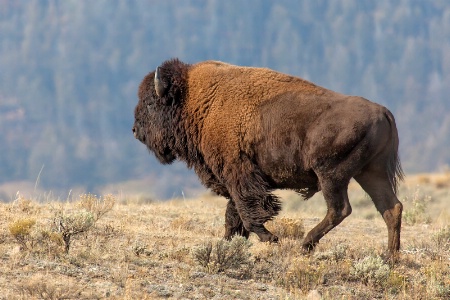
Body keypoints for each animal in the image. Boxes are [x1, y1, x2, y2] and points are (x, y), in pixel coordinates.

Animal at [133, 58, 404, 255]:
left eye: (150, 103)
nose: (135, 130)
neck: (197, 101)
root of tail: (381, 111)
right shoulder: (237, 179)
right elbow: (233, 214)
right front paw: (228, 242)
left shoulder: (238, 173)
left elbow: (246, 210)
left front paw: (270, 238)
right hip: (371, 173)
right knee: (391, 208)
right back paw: (389, 257)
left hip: (332, 174)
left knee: (340, 209)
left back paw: (306, 245)